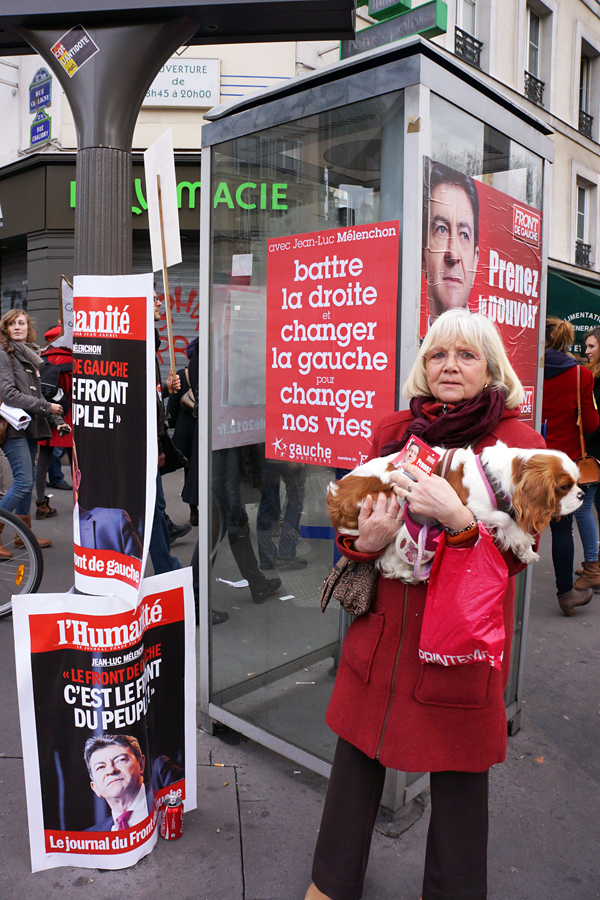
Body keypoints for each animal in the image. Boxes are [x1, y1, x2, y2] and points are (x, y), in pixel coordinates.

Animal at [326, 442, 584, 584]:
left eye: (576, 483)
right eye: (565, 486)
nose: (582, 494)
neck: (497, 477)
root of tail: (334, 497)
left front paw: (526, 550)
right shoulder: (471, 506)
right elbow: (504, 518)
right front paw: (522, 540)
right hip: (392, 506)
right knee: (384, 556)